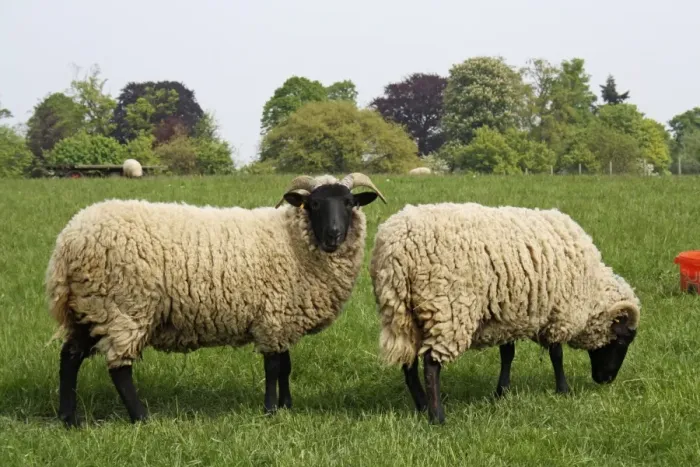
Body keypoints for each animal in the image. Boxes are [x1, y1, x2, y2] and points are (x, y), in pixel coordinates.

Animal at [45, 172, 386, 427]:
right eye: (313, 204)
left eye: (349, 203)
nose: (333, 235)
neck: (292, 241)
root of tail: (68, 239)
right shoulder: (272, 317)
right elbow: (274, 368)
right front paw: (270, 410)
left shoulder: (281, 317)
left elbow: (286, 366)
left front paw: (287, 406)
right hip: (124, 307)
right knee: (118, 368)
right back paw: (141, 418)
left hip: (91, 306)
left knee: (69, 356)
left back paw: (69, 419)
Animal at [369, 202, 641, 424]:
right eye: (623, 339)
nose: (605, 380)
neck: (593, 289)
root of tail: (395, 248)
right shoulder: (558, 312)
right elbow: (557, 354)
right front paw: (564, 390)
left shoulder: (508, 311)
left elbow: (507, 354)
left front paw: (502, 392)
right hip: (448, 309)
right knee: (430, 364)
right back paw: (437, 417)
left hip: (401, 312)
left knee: (408, 363)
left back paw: (423, 406)